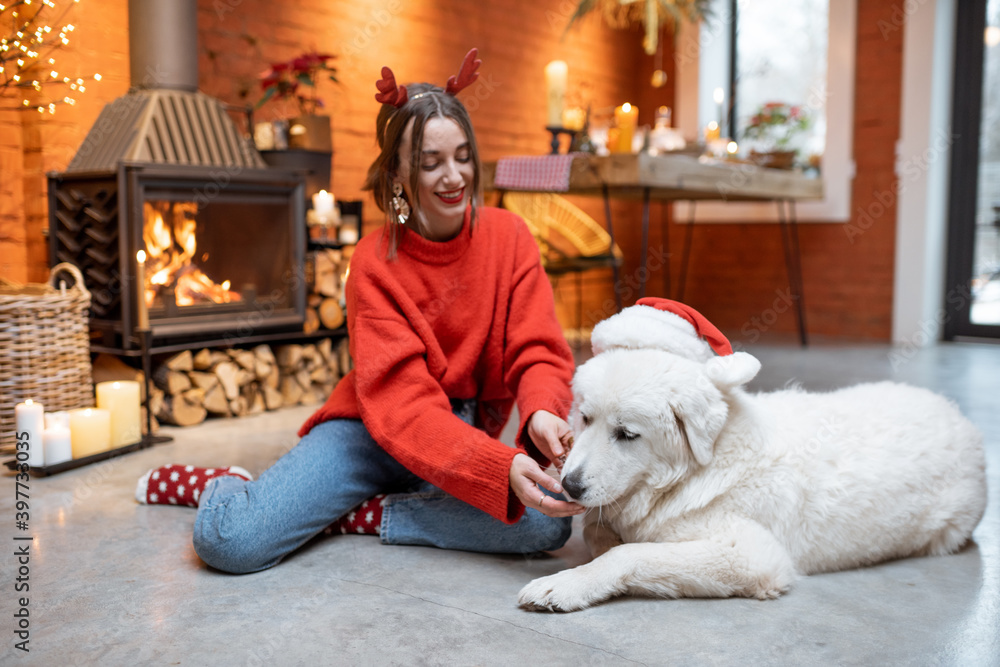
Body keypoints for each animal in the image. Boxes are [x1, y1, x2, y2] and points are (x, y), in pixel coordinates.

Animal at [520, 300, 988, 612]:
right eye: (585, 417)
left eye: (627, 434)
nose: (569, 485)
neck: (694, 473)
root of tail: (957, 415)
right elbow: (599, 533)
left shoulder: (751, 555)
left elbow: (631, 553)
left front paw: (566, 585)